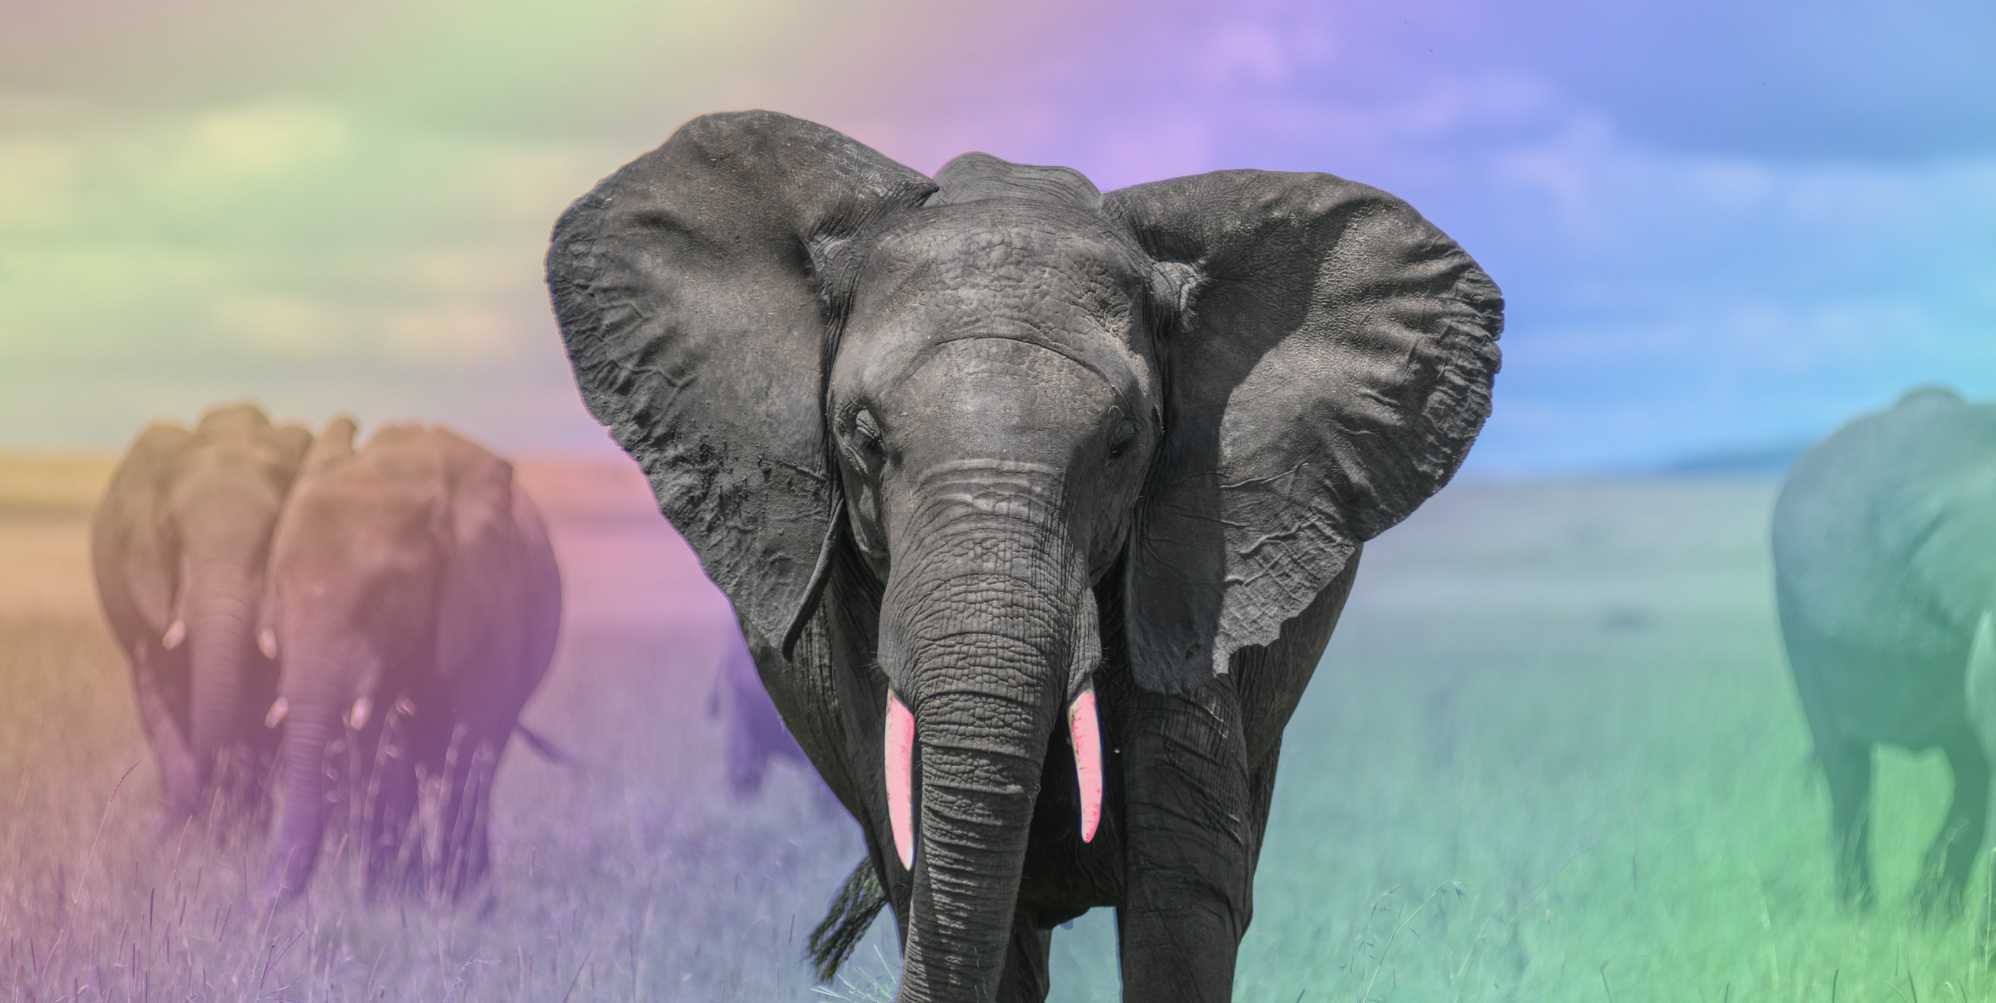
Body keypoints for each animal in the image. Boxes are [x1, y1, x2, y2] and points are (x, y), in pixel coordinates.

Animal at [259, 417, 564, 904]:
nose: (258, 905)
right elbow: (384, 757)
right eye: (280, 585)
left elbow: (469, 742)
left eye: (383, 595)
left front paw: (449, 904)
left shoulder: (489, 601)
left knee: (481, 762)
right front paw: (393, 899)